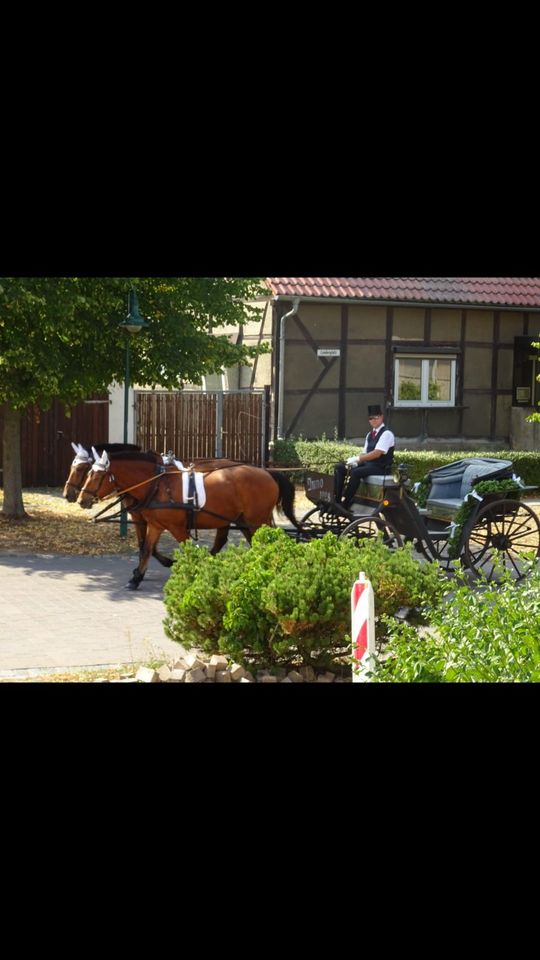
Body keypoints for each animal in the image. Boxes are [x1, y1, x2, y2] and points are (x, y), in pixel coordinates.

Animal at [75, 454, 298, 588]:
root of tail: (268, 473)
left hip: (256, 521)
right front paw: (136, 578)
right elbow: (146, 549)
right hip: (245, 521)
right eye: (89, 472)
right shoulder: (155, 525)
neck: (157, 484)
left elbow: (188, 548)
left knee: (270, 542)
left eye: (96, 476)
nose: (81, 499)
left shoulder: (177, 528)